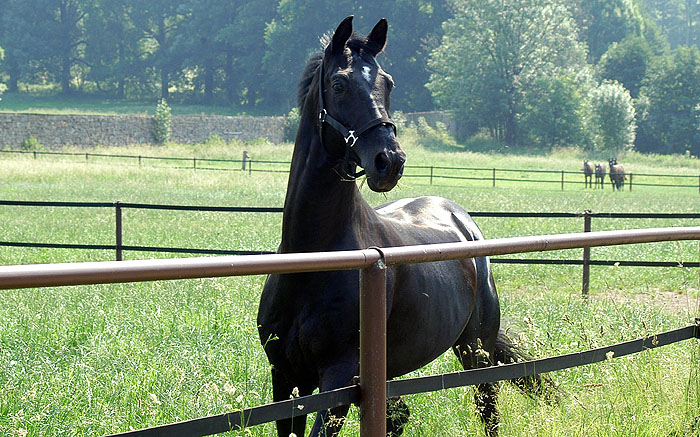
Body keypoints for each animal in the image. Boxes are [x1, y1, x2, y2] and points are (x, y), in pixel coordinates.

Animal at [254, 17, 548, 436]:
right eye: (339, 84)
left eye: (388, 83)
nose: (389, 161)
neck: (311, 260)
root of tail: (460, 218)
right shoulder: (285, 377)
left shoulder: (339, 379)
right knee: (399, 417)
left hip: (476, 350)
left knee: (488, 409)